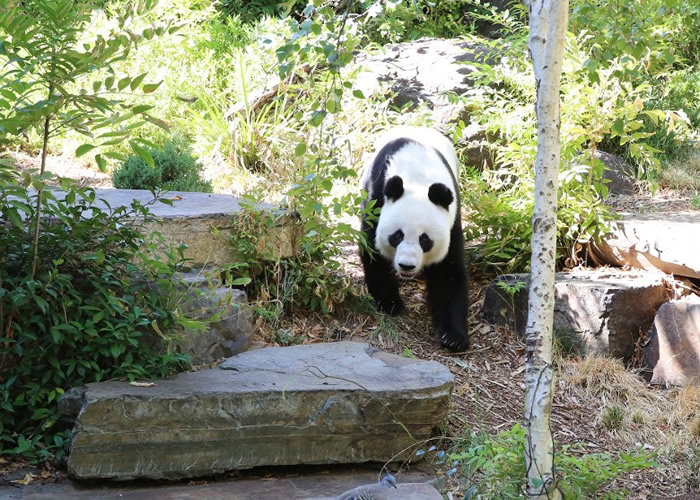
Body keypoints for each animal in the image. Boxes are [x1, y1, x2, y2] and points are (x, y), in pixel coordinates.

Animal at [358, 126, 468, 352]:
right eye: (397, 236)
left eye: (424, 240)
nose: (406, 266)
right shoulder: (376, 198)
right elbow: (373, 251)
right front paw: (390, 303)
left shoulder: (452, 217)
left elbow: (448, 271)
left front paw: (453, 337)